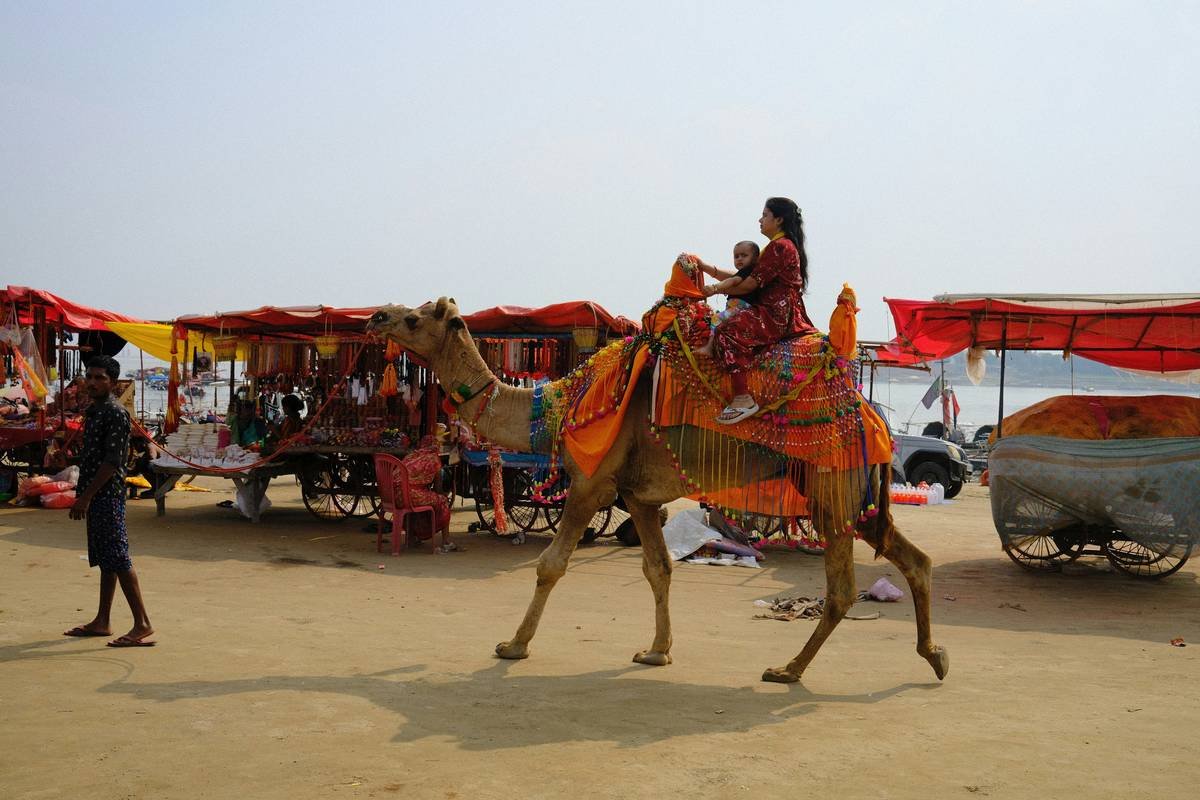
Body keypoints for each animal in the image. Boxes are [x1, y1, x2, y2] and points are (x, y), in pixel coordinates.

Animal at [368, 297, 948, 683]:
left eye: (415, 317)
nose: (376, 317)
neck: (556, 406)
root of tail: (870, 413)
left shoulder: (592, 483)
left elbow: (551, 566)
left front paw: (513, 645)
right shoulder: (639, 497)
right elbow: (658, 569)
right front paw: (656, 651)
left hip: (833, 483)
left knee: (843, 586)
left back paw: (788, 669)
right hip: (852, 491)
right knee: (912, 558)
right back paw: (935, 656)